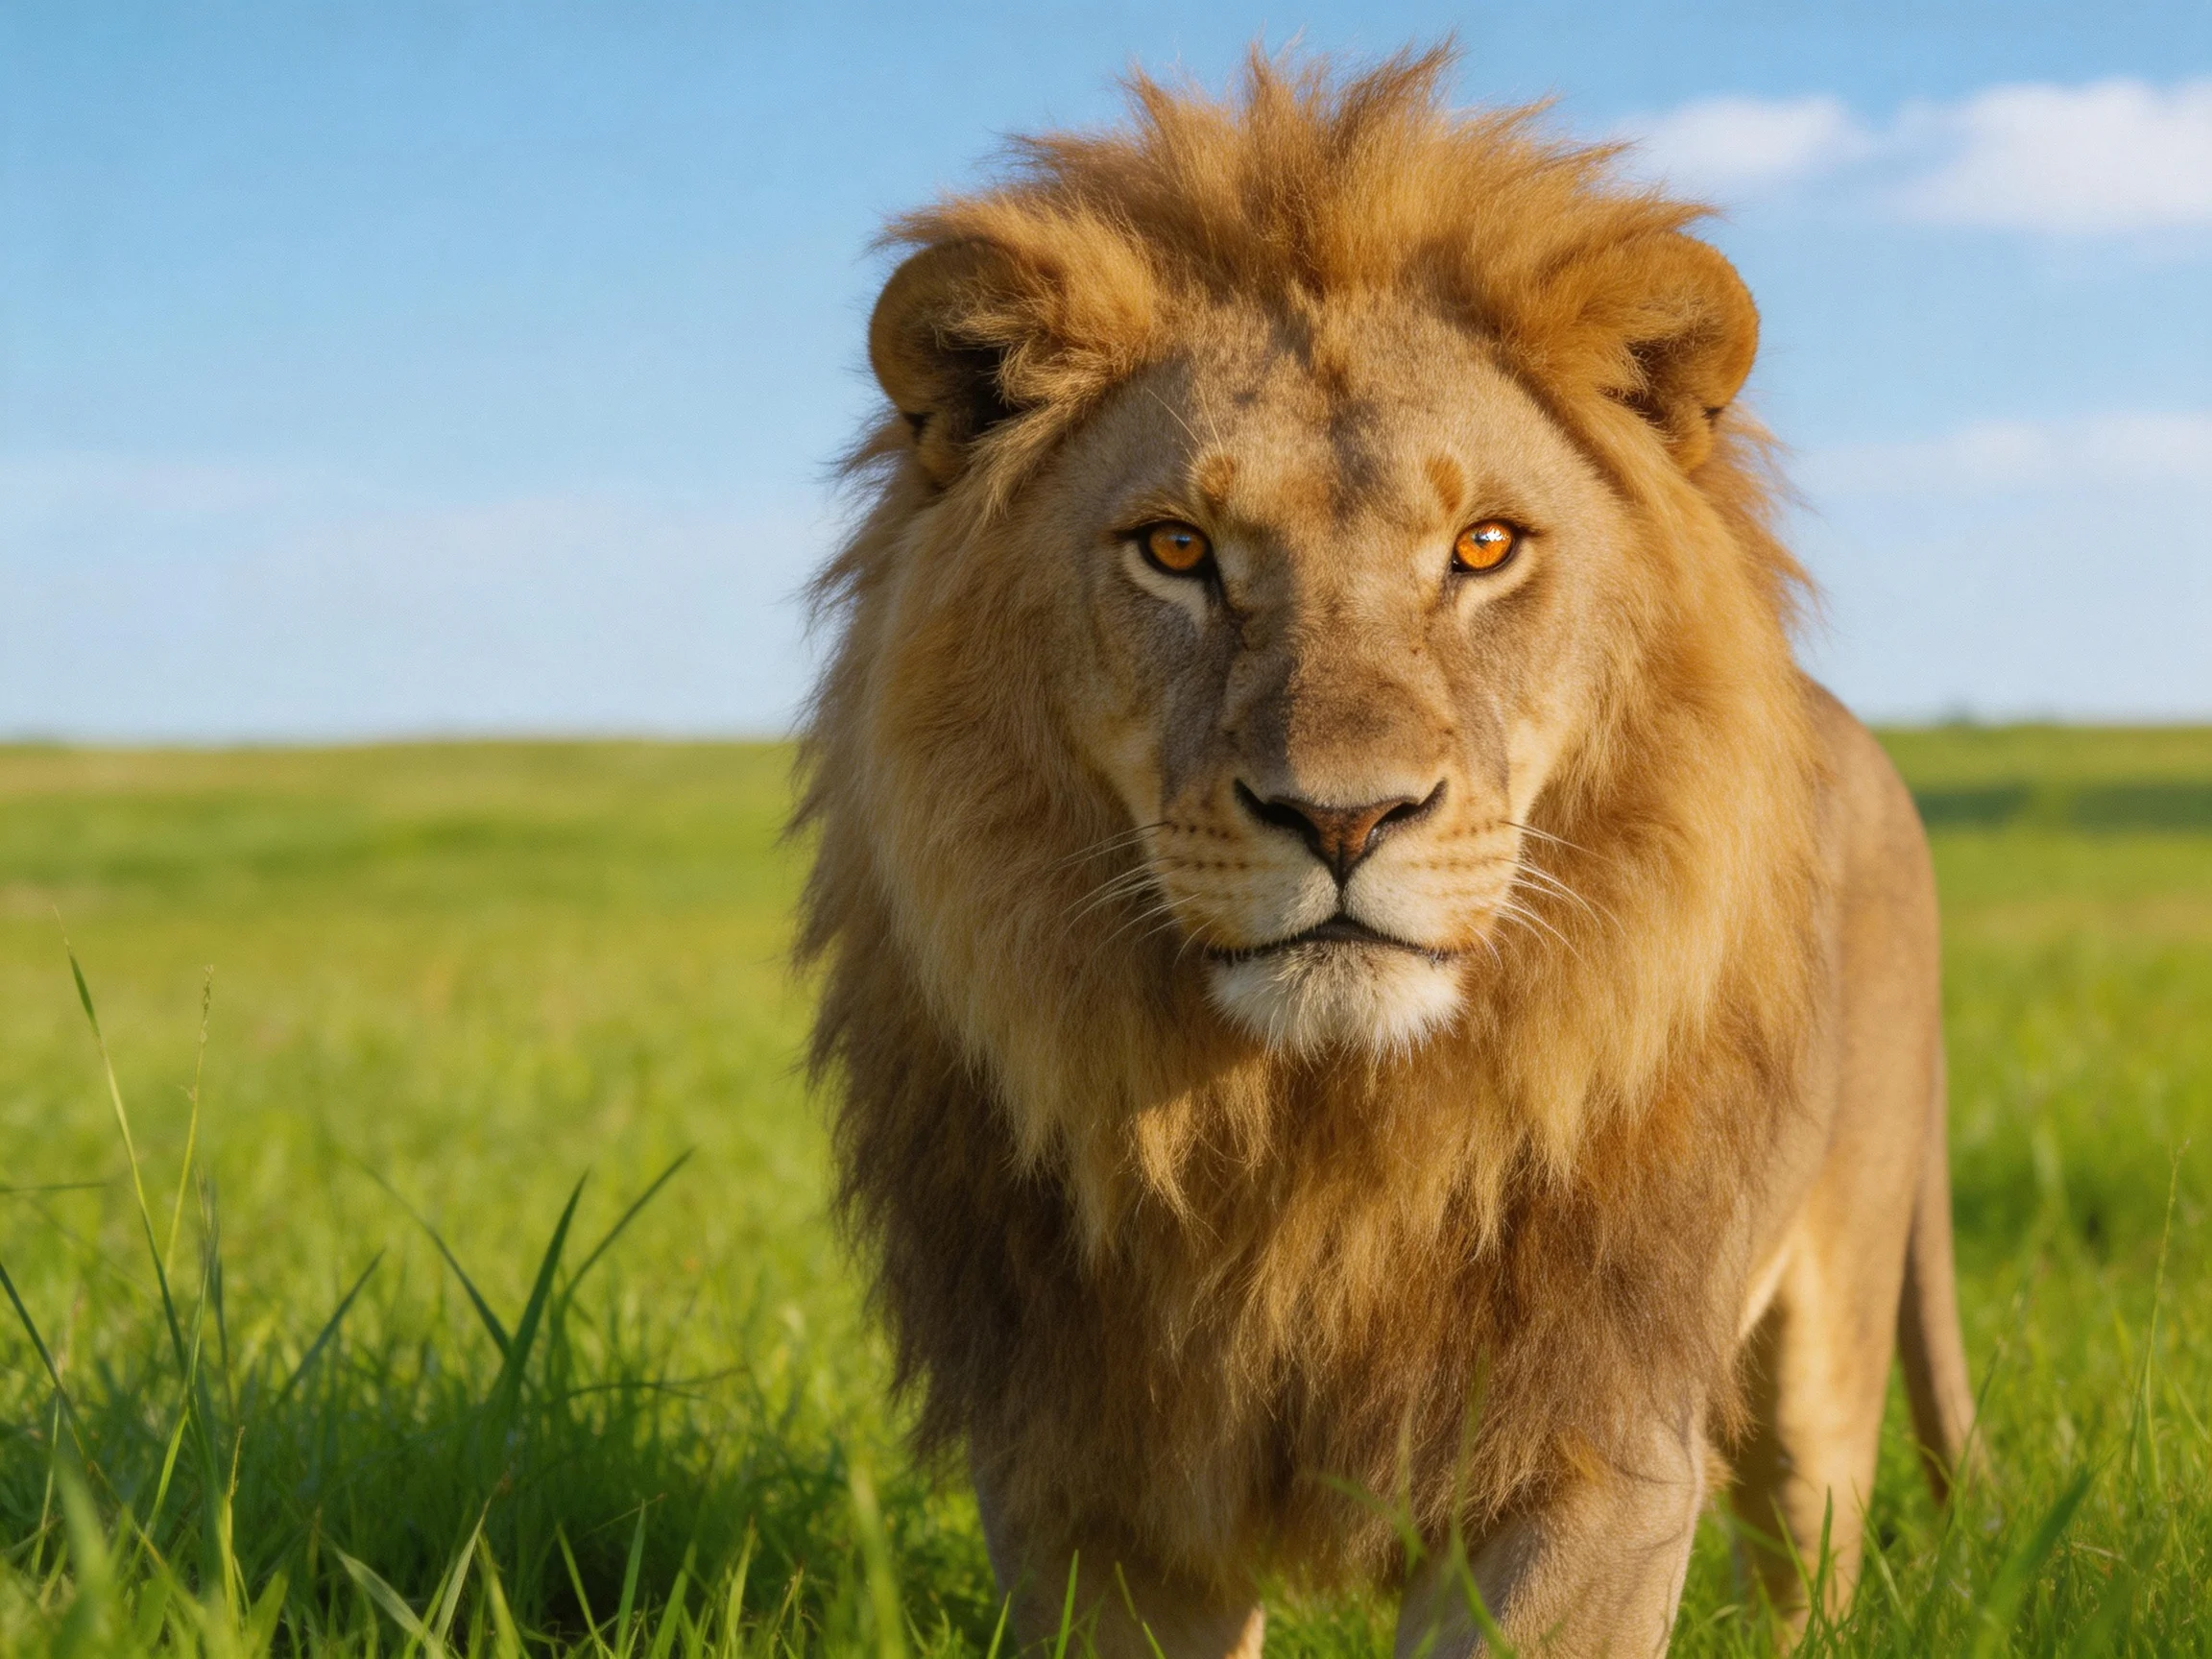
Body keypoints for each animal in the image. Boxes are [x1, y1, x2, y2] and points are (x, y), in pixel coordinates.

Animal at [798, 47, 1981, 1659]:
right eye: (1177, 550)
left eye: (1483, 547)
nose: (1345, 819)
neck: (1321, 1141)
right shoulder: (1089, 1480)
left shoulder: (1589, 1448)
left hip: (1829, 1328)